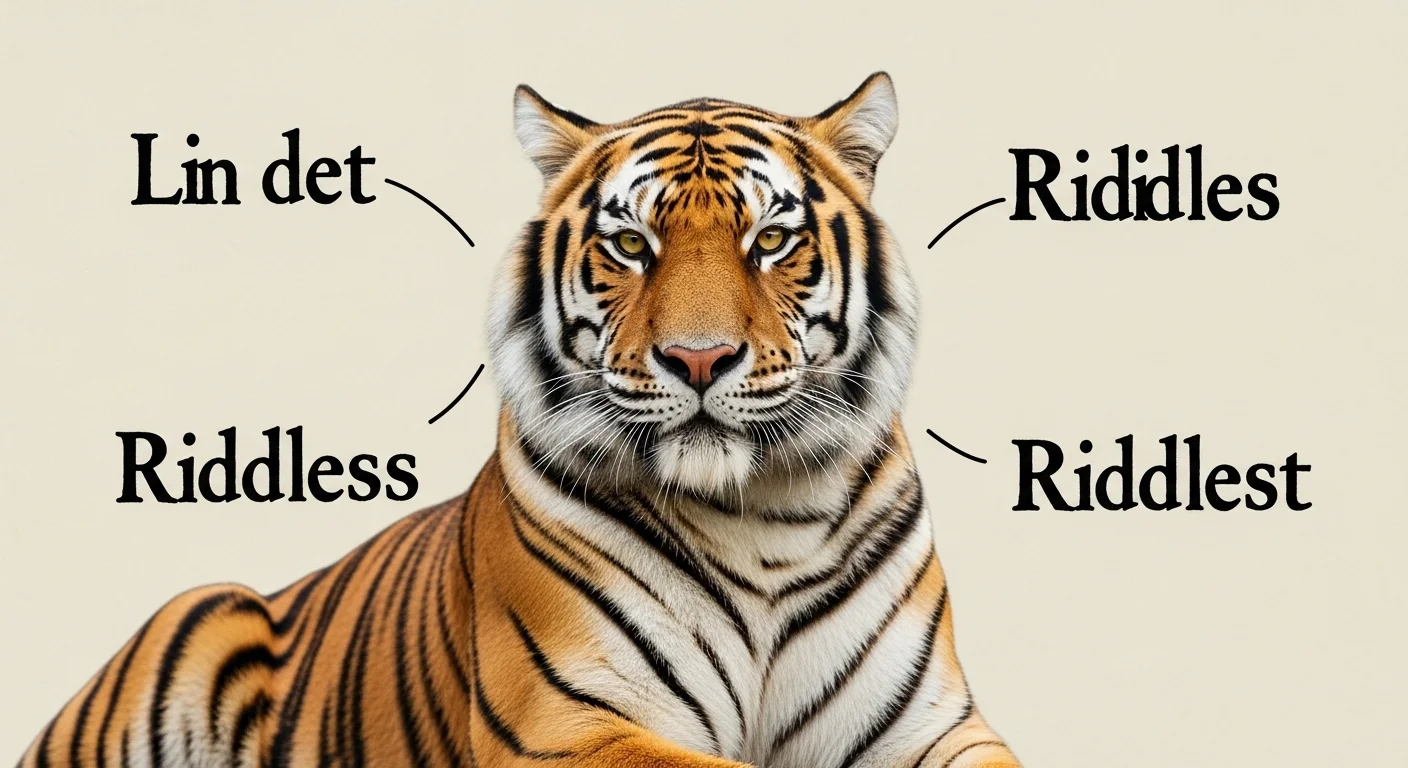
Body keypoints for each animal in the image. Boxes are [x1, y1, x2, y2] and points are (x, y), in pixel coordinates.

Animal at [18, 72, 1021, 768]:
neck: (760, 517)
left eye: (771, 240)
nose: (698, 359)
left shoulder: (930, 727)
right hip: (202, 609)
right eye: (631, 245)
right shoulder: (568, 723)